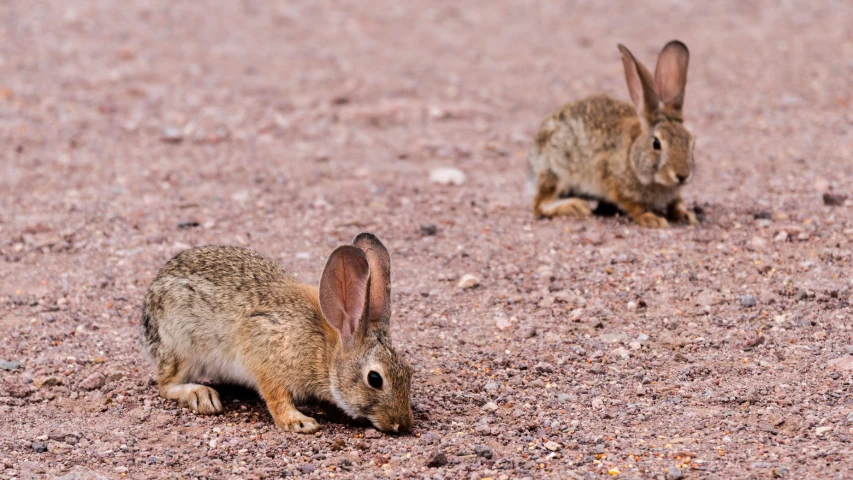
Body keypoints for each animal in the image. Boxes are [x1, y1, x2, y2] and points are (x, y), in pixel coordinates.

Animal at [141, 233, 414, 436]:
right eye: (375, 379)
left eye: (409, 372)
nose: (403, 424)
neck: (325, 352)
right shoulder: (266, 360)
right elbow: (277, 398)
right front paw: (299, 422)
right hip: (182, 345)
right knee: (166, 384)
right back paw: (201, 395)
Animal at [524, 40, 700, 228]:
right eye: (656, 143)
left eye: (692, 142)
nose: (682, 175)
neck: (632, 155)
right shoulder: (616, 184)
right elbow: (635, 206)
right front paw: (652, 220)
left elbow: (676, 203)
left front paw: (686, 216)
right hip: (556, 173)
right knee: (539, 204)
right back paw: (575, 206)